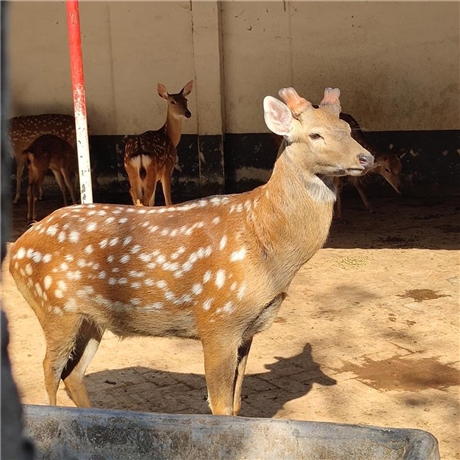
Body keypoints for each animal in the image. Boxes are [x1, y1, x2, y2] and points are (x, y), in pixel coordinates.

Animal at [9, 84, 374, 416]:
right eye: (315, 134)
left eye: (347, 129)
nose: (366, 157)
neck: (268, 250)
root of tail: (16, 252)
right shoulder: (217, 319)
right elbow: (220, 407)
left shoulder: (247, 329)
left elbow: (237, 405)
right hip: (55, 310)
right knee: (49, 370)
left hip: (91, 319)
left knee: (72, 375)